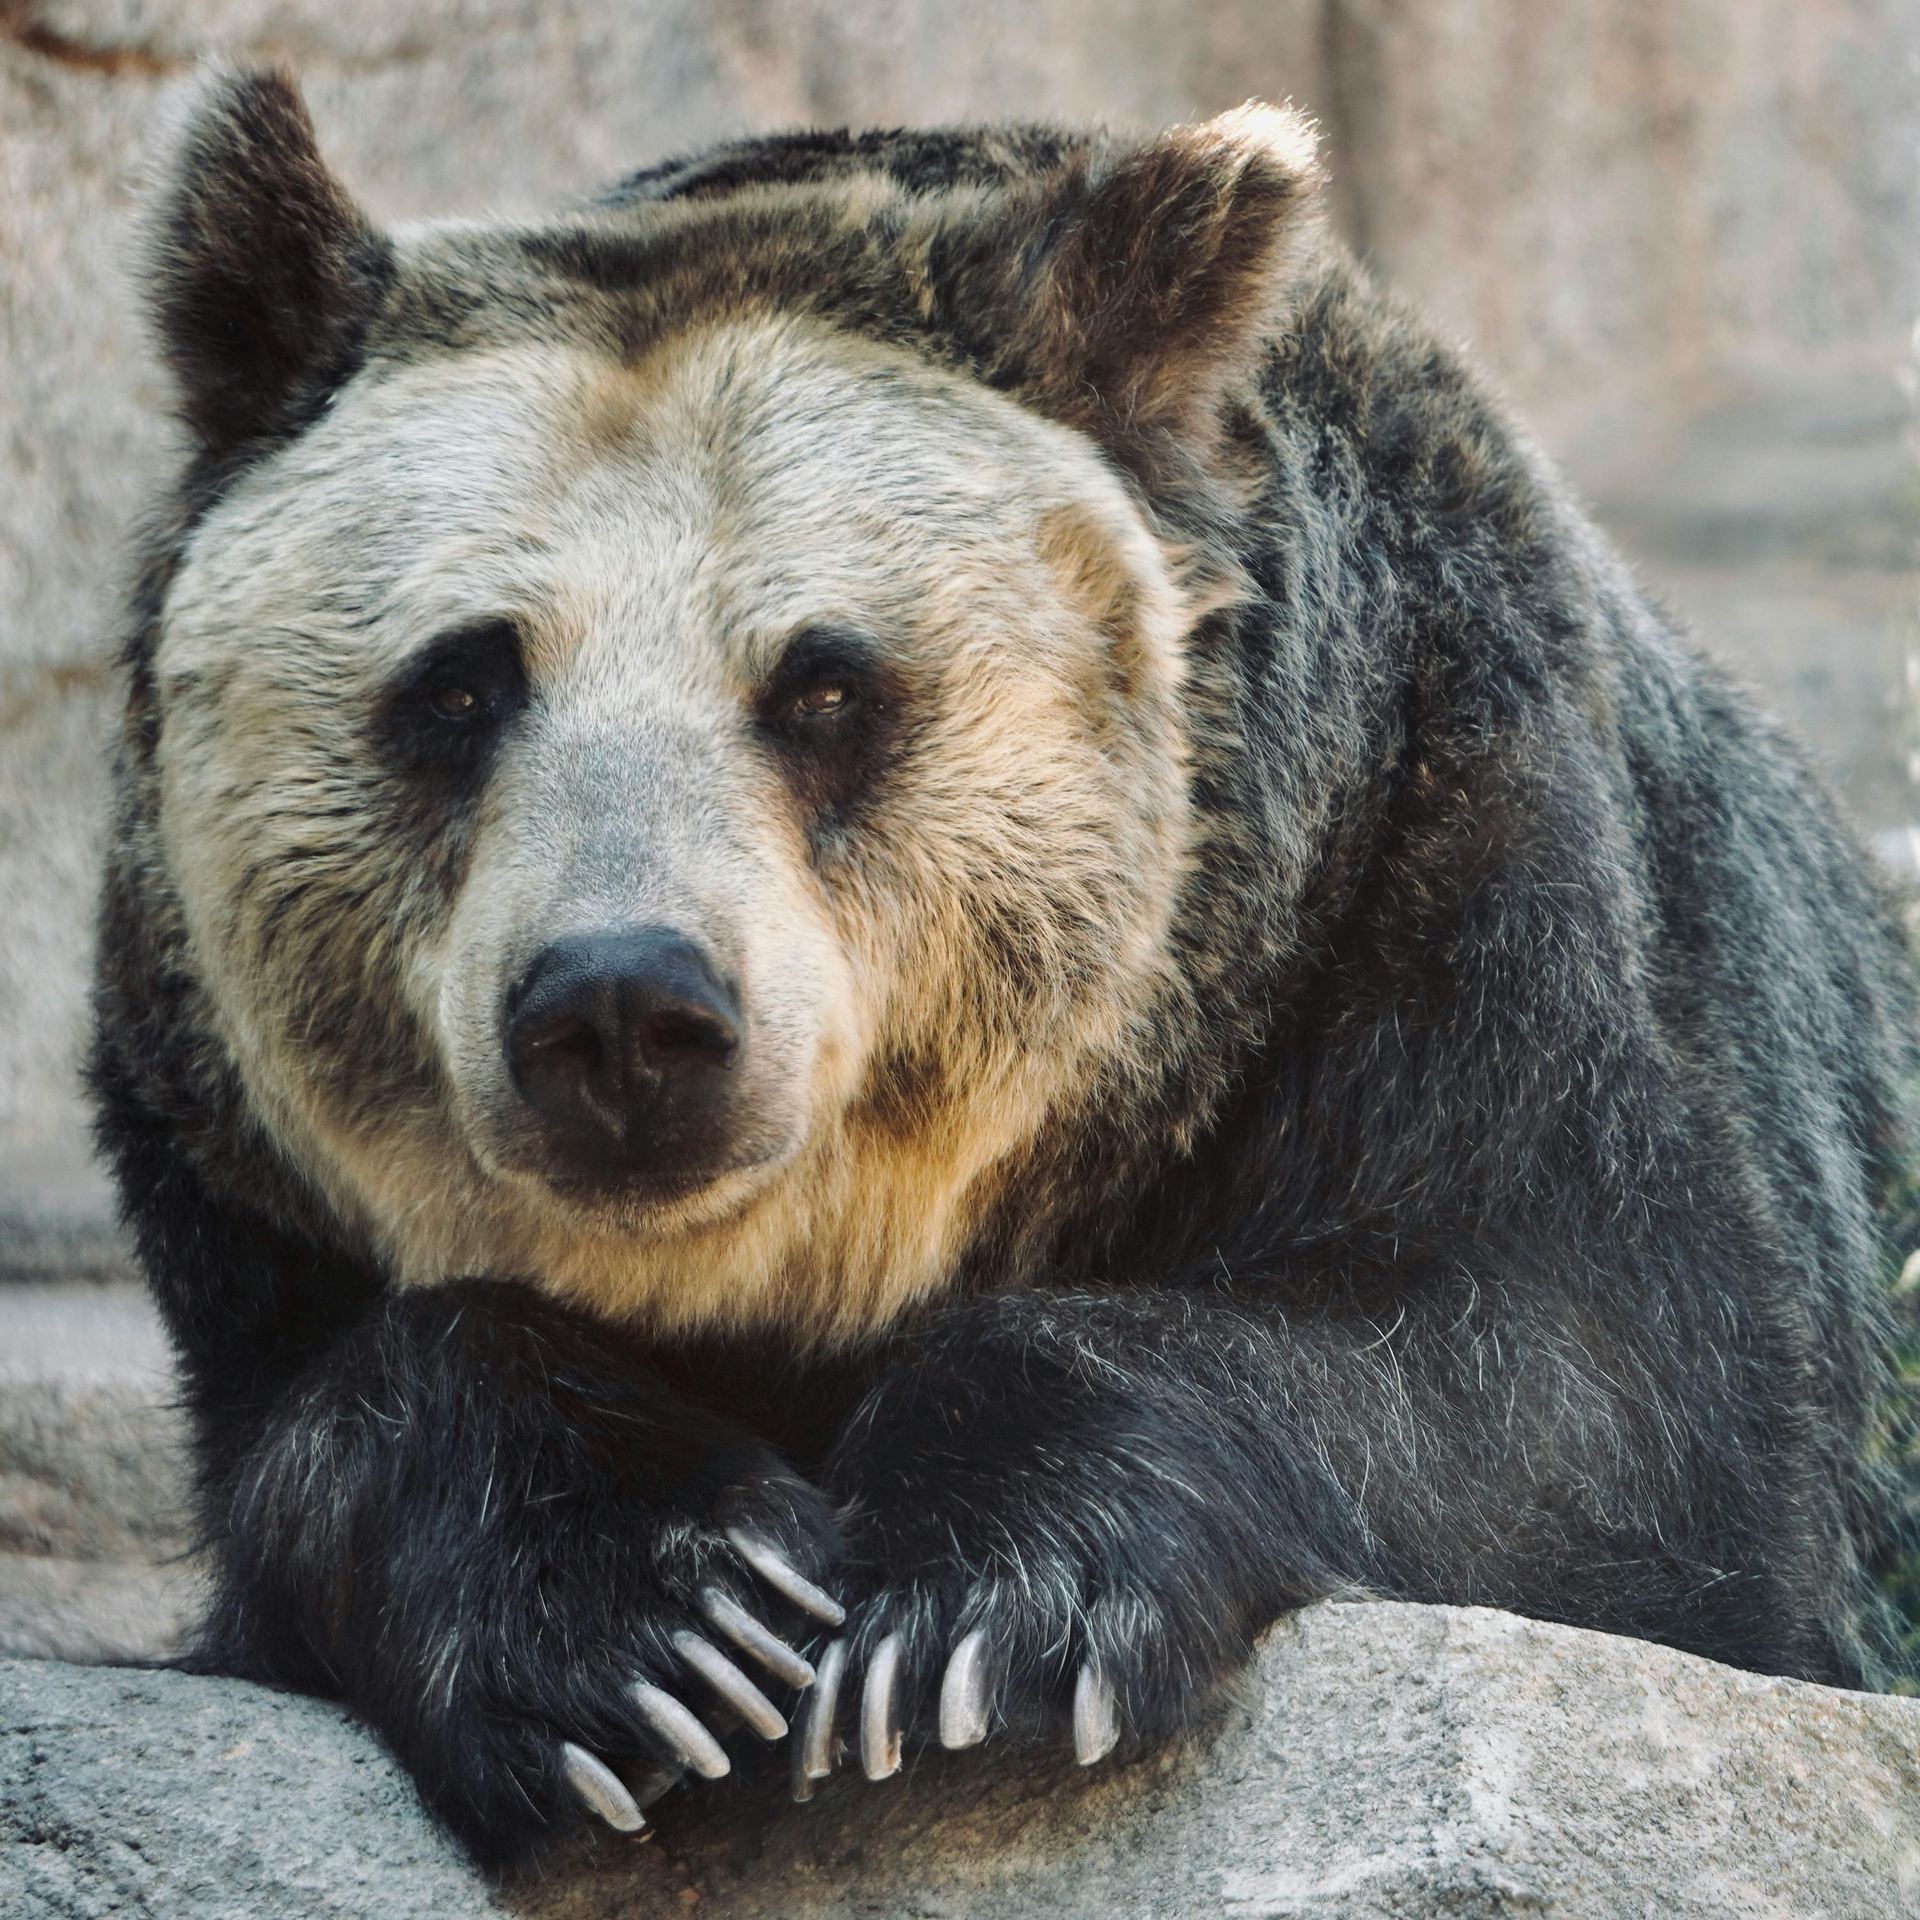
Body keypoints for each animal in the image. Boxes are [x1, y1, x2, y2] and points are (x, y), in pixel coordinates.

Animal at [89, 66, 1919, 1870]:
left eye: (824, 687)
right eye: (463, 684)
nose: (621, 1011)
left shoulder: (1456, 854)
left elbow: (1593, 1402)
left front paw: (963, 1617)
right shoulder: (243, 1205)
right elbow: (328, 1440)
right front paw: (667, 1628)